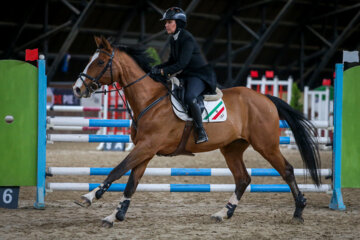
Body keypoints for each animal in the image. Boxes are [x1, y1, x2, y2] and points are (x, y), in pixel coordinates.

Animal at [73, 36, 320, 228]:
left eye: (101, 62)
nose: (77, 88)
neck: (149, 99)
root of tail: (265, 97)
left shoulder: (147, 146)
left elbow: (117, 170)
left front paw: (89, 197)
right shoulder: (145, 149)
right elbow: (132, 181)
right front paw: (115, 215)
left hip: (266, 145)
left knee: (286, 171)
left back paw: (298, 211)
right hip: (232, 148)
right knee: (242, 178)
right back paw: (224, 213)